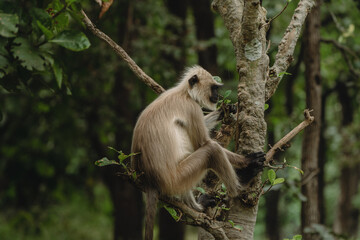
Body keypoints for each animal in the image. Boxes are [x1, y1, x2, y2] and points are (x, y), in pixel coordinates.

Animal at [131, 65, 266, 240]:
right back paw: (241, 184)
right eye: (214, 88)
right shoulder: (191, 108)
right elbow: (204, 143)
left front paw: (225, 111)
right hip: (176, 178)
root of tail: (149, 181)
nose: (217, 96)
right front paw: (247, 161)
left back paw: (197, 206)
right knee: (211, 150)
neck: (184, 93)